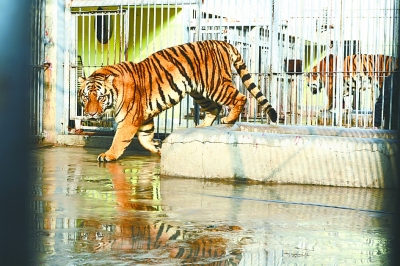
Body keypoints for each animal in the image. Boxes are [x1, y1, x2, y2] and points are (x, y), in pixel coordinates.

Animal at [78, 40, 278, 161]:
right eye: (86, 97)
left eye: (101, 97)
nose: (91, 114)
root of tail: (222, 42)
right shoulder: (144, 117)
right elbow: (144, 138)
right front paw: (158, 148)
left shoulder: (129, 120)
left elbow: (119, 139)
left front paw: (108, 155)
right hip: (199, 92)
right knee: (214, 108)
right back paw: (202, 127)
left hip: (215, 84)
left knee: (239, 97)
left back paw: (229, 119)